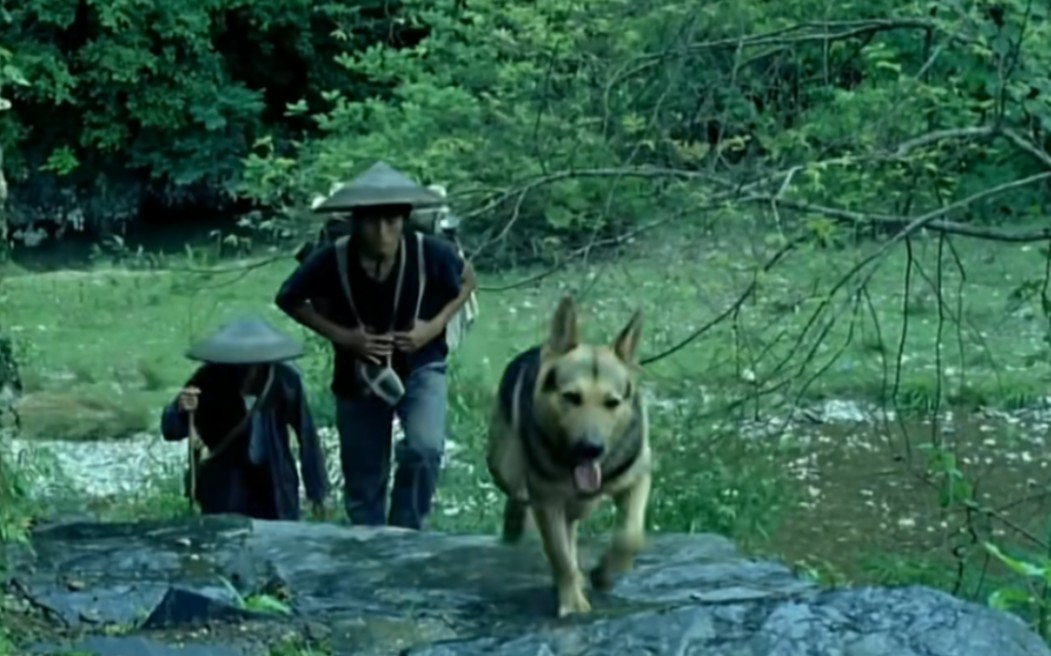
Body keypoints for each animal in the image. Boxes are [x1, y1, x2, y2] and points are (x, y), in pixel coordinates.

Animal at [485, 294, 647, 618]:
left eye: (612, 403)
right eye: (571, 397)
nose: (590, 448)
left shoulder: (638, 478)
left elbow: (630, 535)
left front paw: (605, 573)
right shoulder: (546, 500)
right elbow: (558, 553)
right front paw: (571, 602)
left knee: (572, 523)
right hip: (503, 468)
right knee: (519, 494)